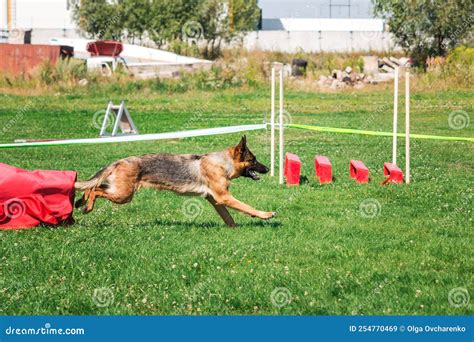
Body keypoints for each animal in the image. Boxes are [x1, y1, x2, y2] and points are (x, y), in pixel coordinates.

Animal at [73, 136, 274, 227]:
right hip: (123, 195)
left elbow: (228, 216)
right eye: (253, 160)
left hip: (119, 191)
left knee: (92, 187)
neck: (223, 164)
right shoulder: (223, 197)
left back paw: (80, 202)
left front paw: (234, 228)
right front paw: (265, 214)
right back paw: (87, 207)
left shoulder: (214, 199)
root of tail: (119, 161)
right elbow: (247, 207)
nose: (268, 169)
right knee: (95, 190)